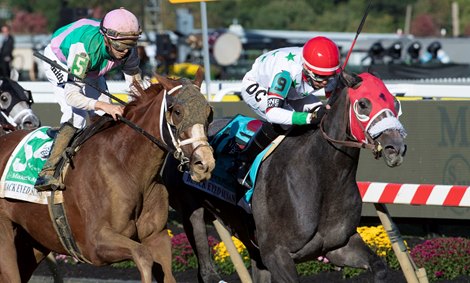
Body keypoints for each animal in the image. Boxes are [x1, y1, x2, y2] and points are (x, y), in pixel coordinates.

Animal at [0, 69, 216, 283]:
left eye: (209, 113)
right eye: (177, 111)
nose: (204, 163)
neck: (127, 166)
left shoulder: (157, 237)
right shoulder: (95, 244)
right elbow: (143, 256)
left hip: (34, 240)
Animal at [162, 72, 408, 282]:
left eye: (395, 104)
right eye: (363, 104)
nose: (395, 148)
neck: (322, 178)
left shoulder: (339, 246)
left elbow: (380, 267)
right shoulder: (276, 254)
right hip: (191, 210)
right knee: (205, 270)